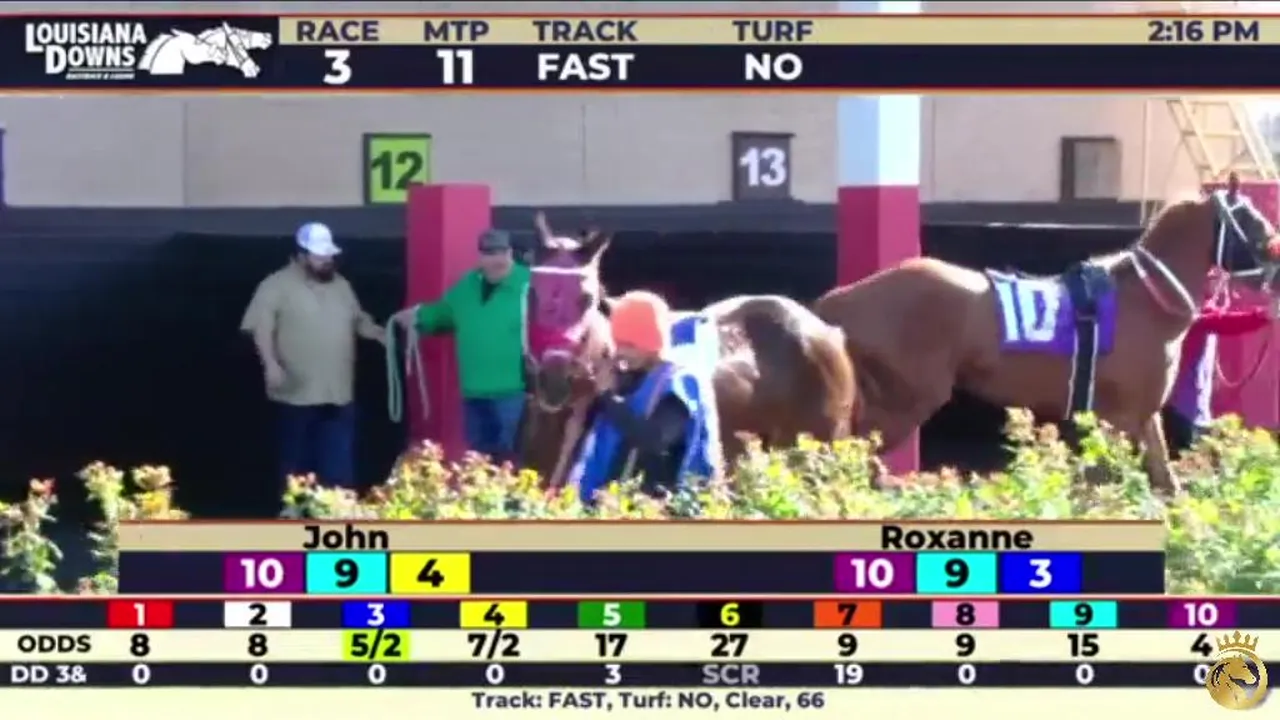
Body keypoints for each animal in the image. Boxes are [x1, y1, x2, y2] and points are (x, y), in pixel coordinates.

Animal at [814, 183, 1279, 494]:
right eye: (1251, 220)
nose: (1273, 268)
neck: (1145, 300)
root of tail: (838, 301)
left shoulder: (1139, 414)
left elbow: (1163, 481)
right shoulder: (1121, 416)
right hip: (906, 398)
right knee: (852, 455)